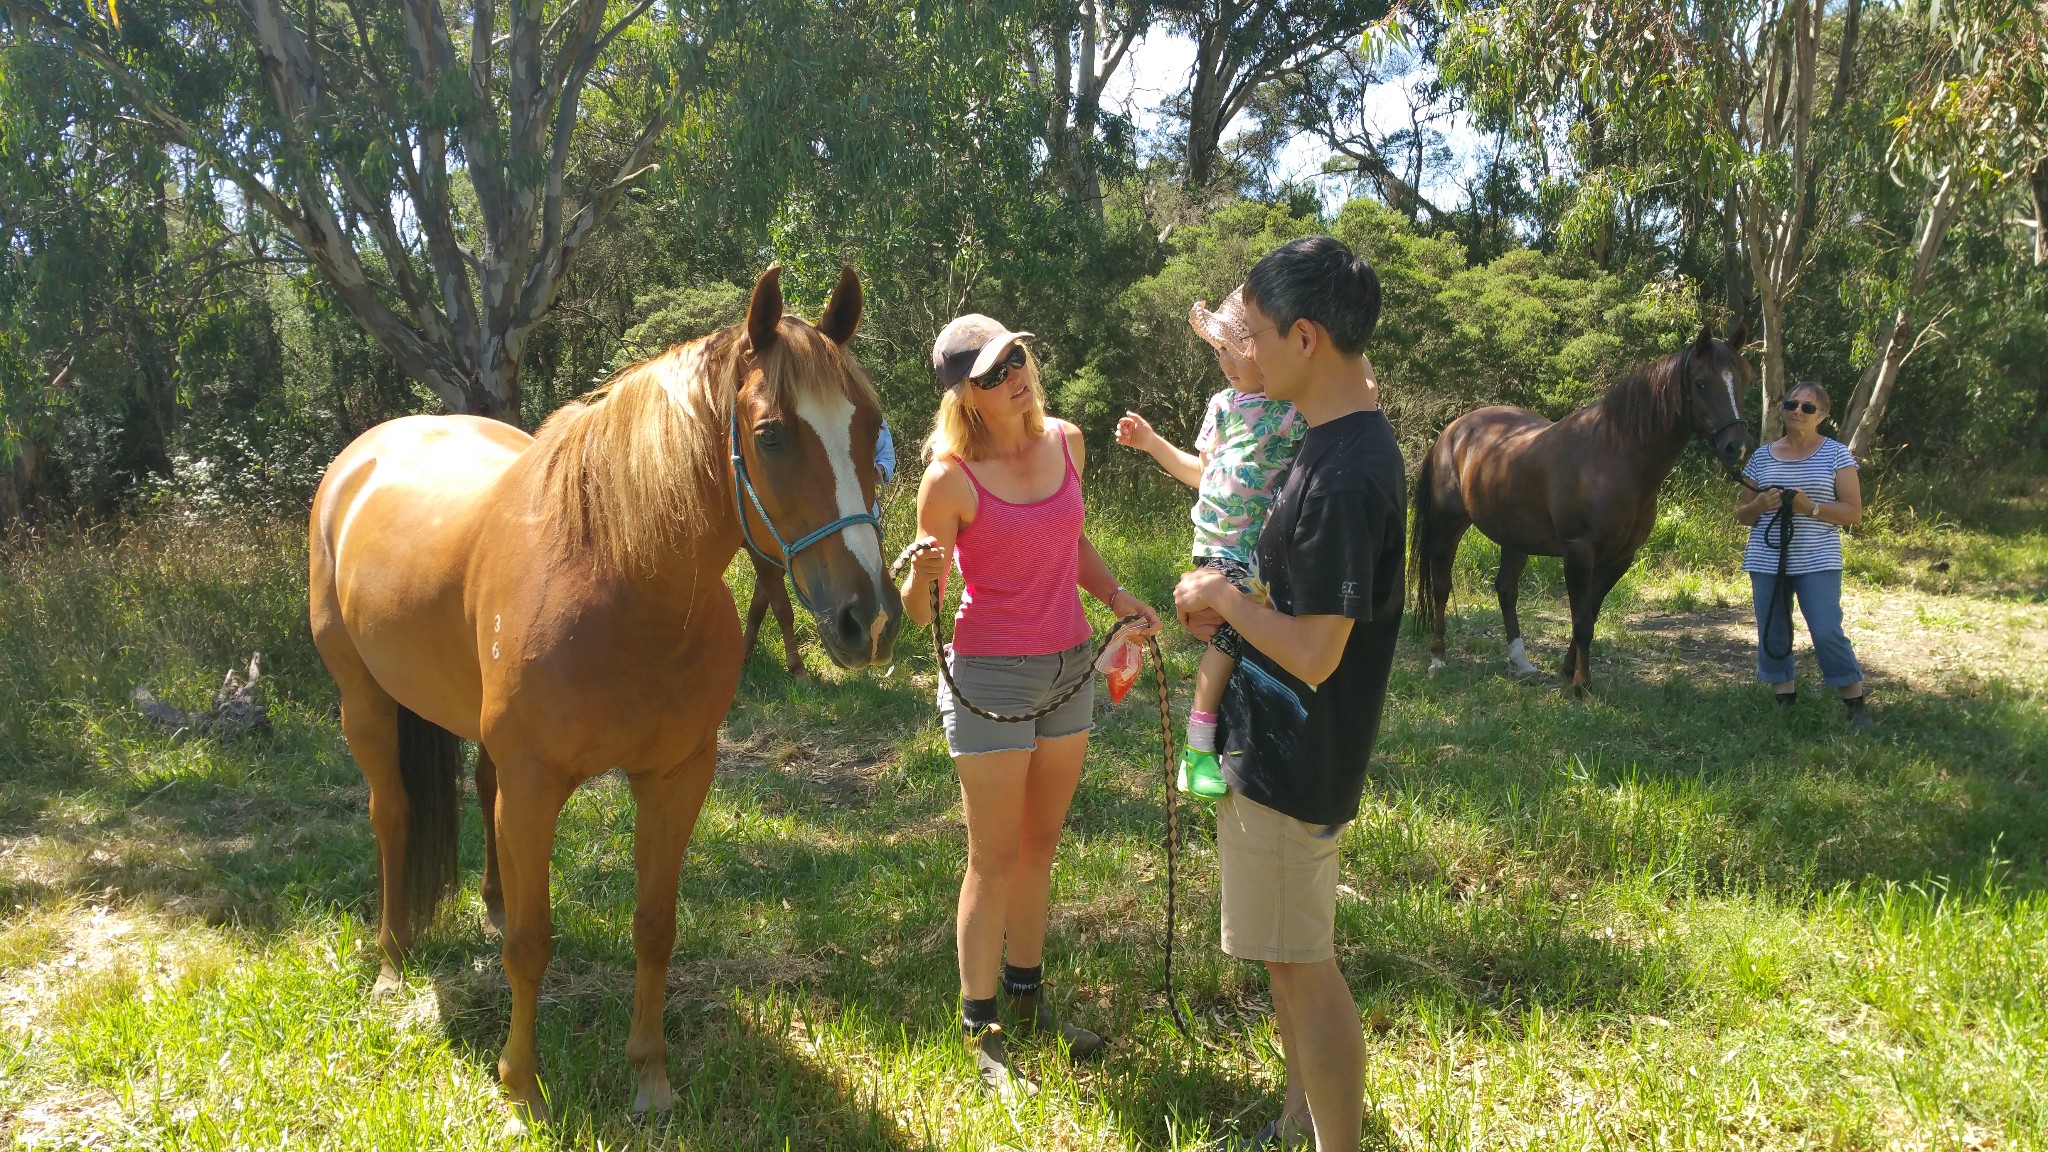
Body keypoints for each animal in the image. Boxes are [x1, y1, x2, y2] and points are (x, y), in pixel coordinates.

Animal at [307, 262, 901, 1123]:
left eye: (871, 427)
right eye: (770, 435)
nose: (870, 619)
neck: (618, 574)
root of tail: (359, 459)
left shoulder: (676, 777)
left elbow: (654, 926)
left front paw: (649, 1076)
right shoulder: (536, 788)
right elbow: (531, 943)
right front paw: (521, 1086)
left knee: (478, 793)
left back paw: (488, 902)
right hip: (365, 703)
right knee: (394, 815)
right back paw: (391, 964)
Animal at [1409, 317, 1761, 684]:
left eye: (1745, 379)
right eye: (1701, 383)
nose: (1738, 447)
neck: (1613, 458)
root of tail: (1452, 432)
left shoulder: (1620, 558)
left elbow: (1590, 613)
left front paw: (1568, 670)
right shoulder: (1578, 552)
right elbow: (1581, 621)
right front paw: (1582, 685)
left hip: (1515, 537)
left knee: (1506, 589)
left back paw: (1521, 661)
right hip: (1448, 526)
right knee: (1441, 586)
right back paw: (1438, 659)